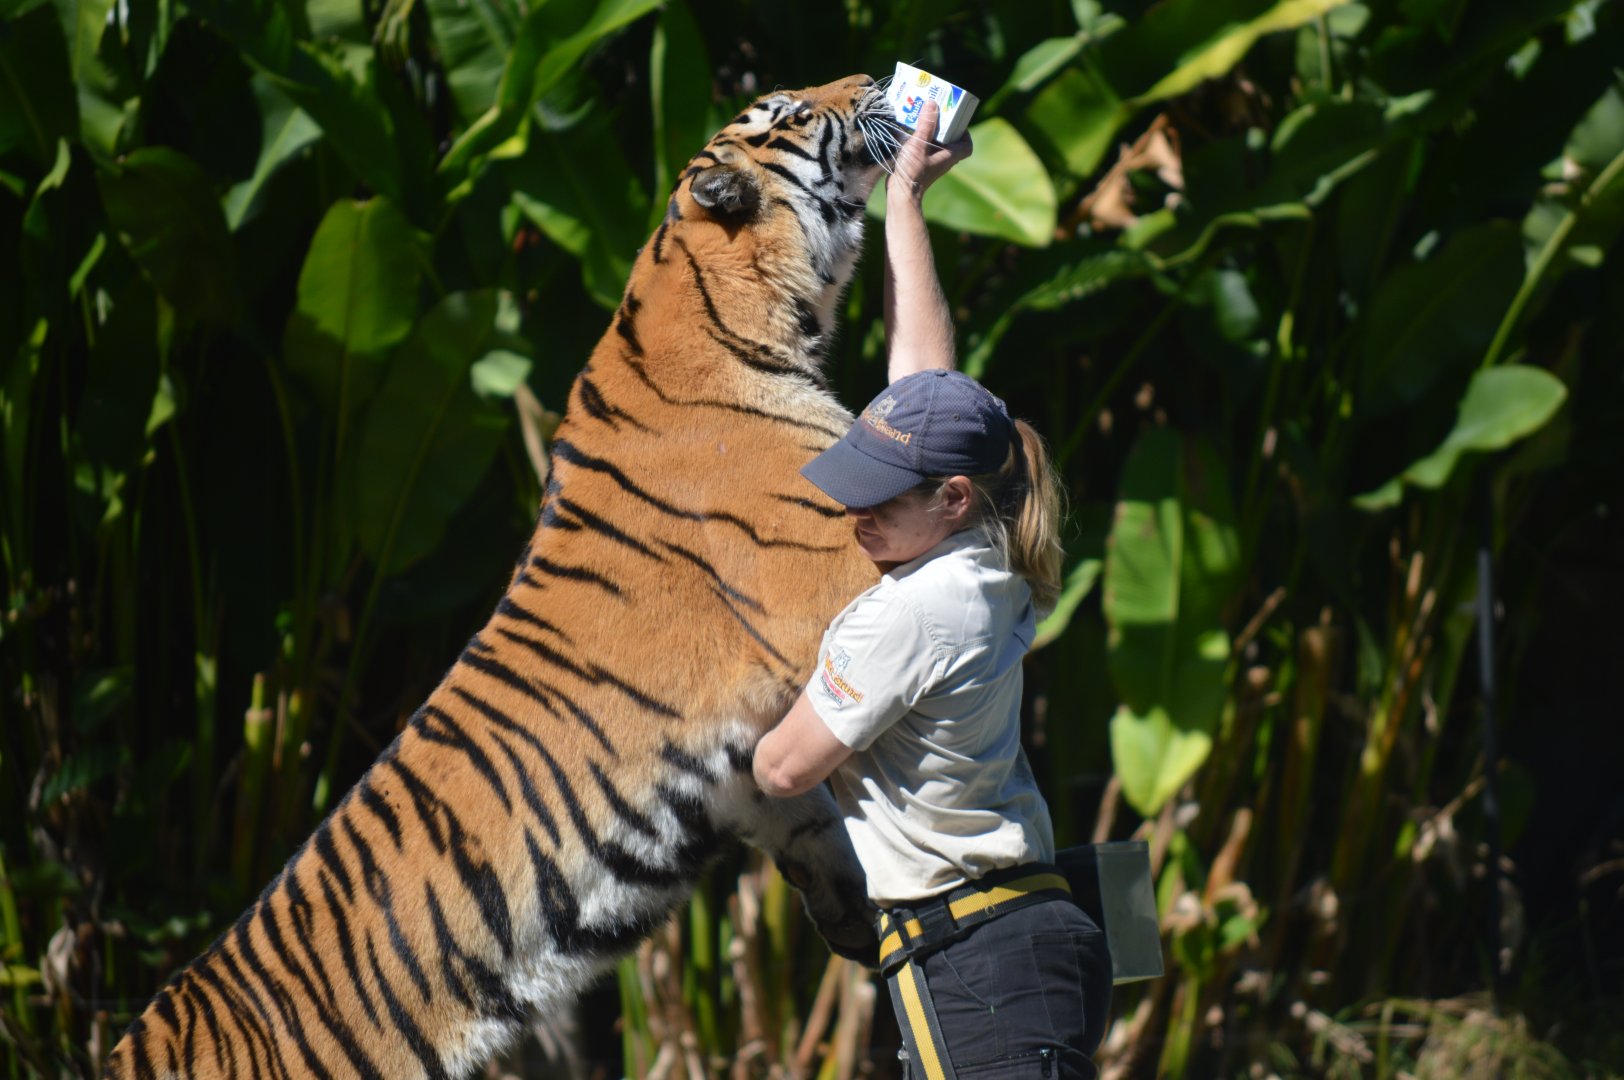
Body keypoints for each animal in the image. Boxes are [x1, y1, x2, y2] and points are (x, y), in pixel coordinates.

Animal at [104, 74, 898, 1079]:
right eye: (795, 111)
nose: (872, 81)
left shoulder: (749, 759)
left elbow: (806, 817)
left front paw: (854, 911)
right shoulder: (833, 572)